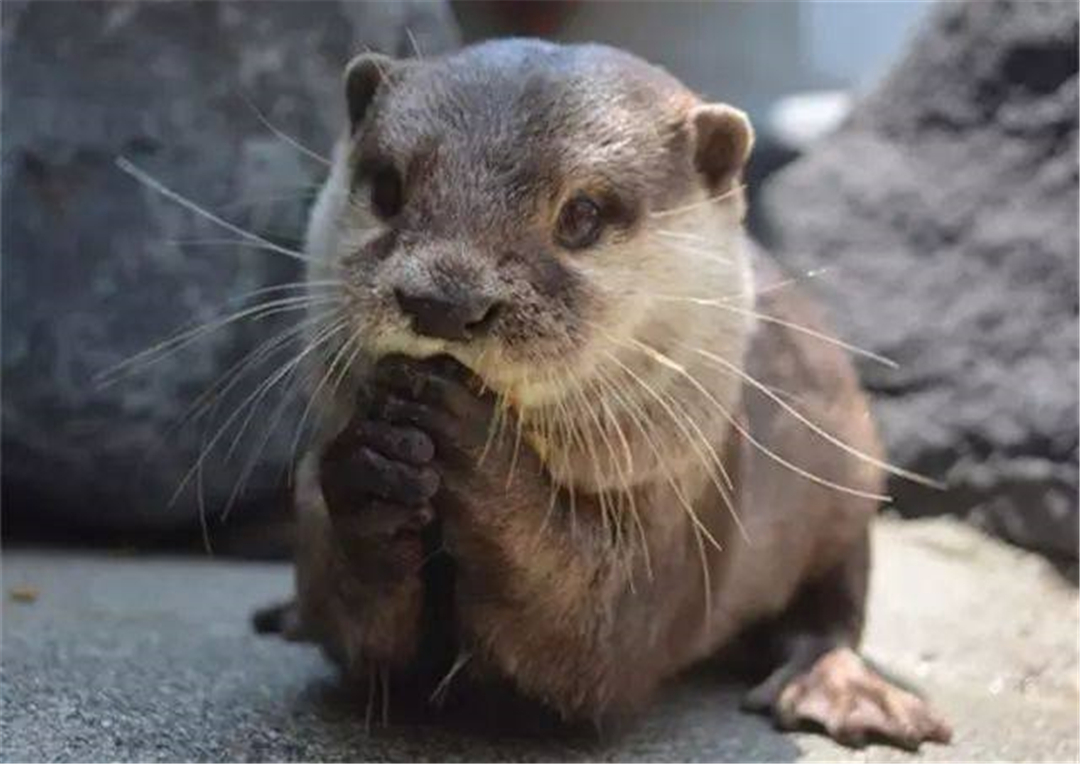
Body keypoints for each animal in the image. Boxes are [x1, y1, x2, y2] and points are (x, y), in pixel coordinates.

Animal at [259, 38, 954, 752]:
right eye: (388, 188)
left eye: (582, 215)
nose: (443, 301)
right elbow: (365, 643)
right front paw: (371, 468)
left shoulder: (679, 532)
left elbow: (591, 643)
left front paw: (474, 447)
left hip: (849, 479)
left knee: (836, 600)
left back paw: (840, 687)